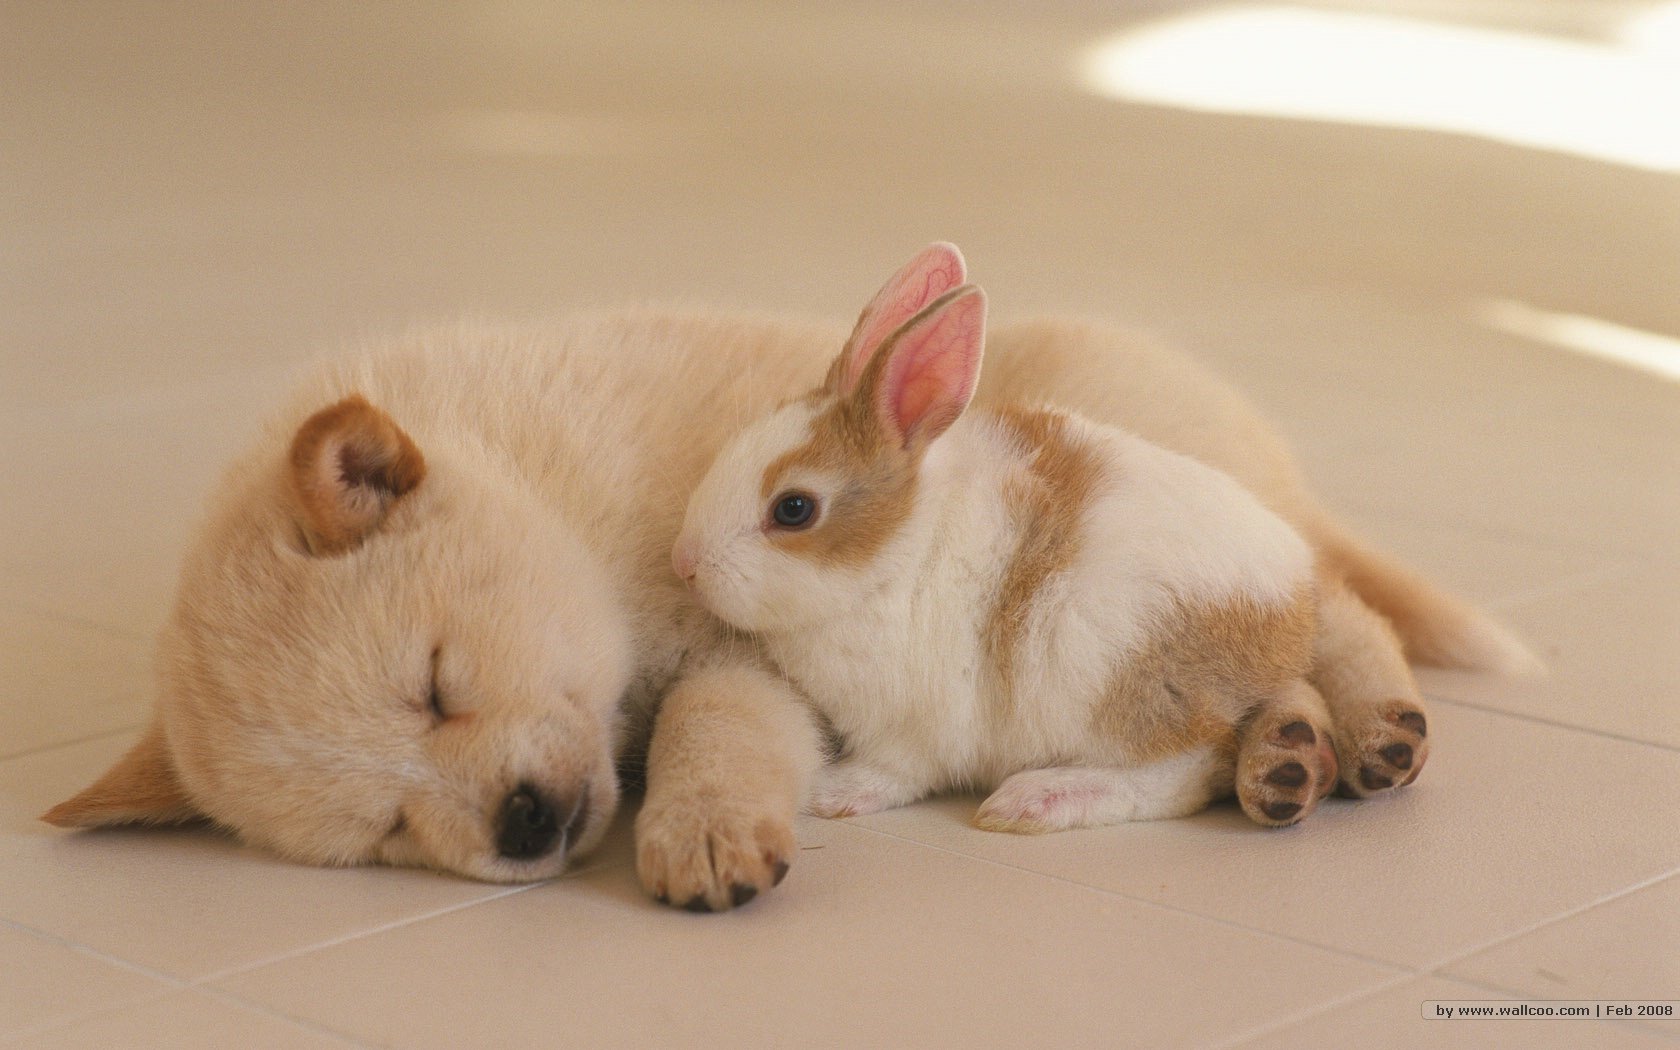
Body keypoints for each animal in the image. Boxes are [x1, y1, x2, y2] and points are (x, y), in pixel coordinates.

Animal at [674, 245, 1346, 832]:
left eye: (793, 509)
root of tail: (1293, 613)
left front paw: (831, 794)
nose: (685, 565)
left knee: (1186, 771)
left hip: (1111, 683)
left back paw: (1035, 801)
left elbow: (894, 772)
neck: (897, 555)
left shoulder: (914, 730)